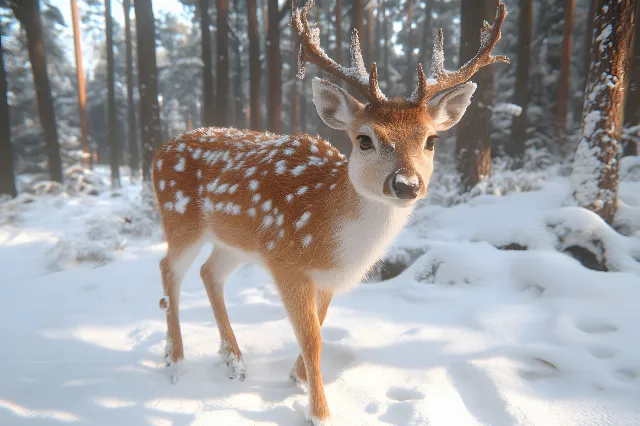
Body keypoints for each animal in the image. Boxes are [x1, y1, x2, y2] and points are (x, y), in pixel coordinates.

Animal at [151, 1, 510, 424]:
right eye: (364, 139)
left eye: (432, 140)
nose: (406, 184)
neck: (331, 235)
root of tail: (159, 151)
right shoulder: (285, 263)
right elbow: (312, 339)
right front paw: (319, 412)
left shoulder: (325, 278)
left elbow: (320, 328)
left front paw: (296, 377)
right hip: (179, 218)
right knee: (169, 269)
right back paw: (175, 360)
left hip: (234, 241)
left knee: (210, 274)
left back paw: (234, 360)